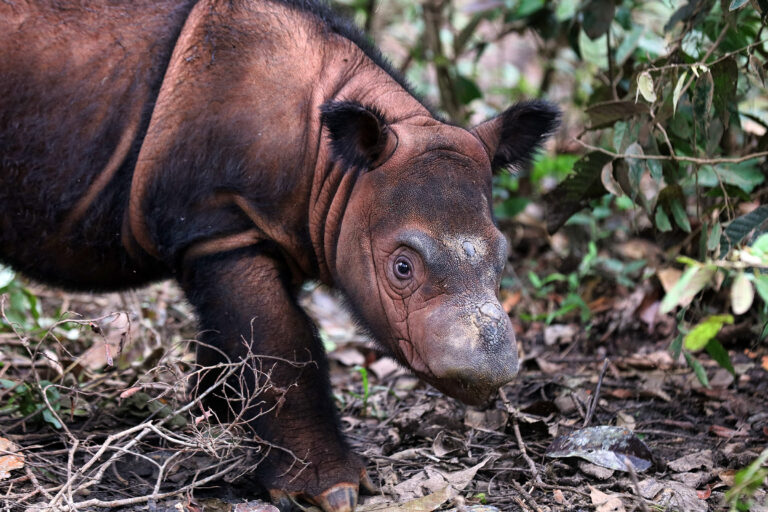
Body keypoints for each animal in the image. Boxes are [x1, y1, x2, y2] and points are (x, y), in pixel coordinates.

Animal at [1, 2, 560, 510]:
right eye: (402, 268)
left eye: (503, 258)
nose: (485, 373)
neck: (336, 167)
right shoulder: (223, 226)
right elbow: (280, 339)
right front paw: (328, 490)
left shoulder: (256, 229)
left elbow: (235, 339)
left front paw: (216, 417)